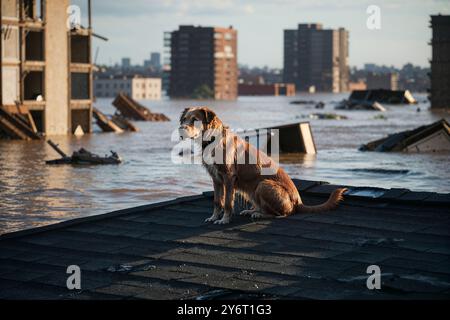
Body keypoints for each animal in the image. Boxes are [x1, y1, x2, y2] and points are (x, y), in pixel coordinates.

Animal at [179, 106, 348, 224]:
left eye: (195, 120)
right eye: (184, 119)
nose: (181, 130)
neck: (213, 139)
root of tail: (298, 202)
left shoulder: (228, 177)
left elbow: (227, 203)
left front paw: (224, 220)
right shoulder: (216, 179)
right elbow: (217, 201)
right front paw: (214, 217)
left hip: (263, 185)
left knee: (282, 214)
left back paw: (260, 214)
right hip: (253, 190)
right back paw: (252, 210)